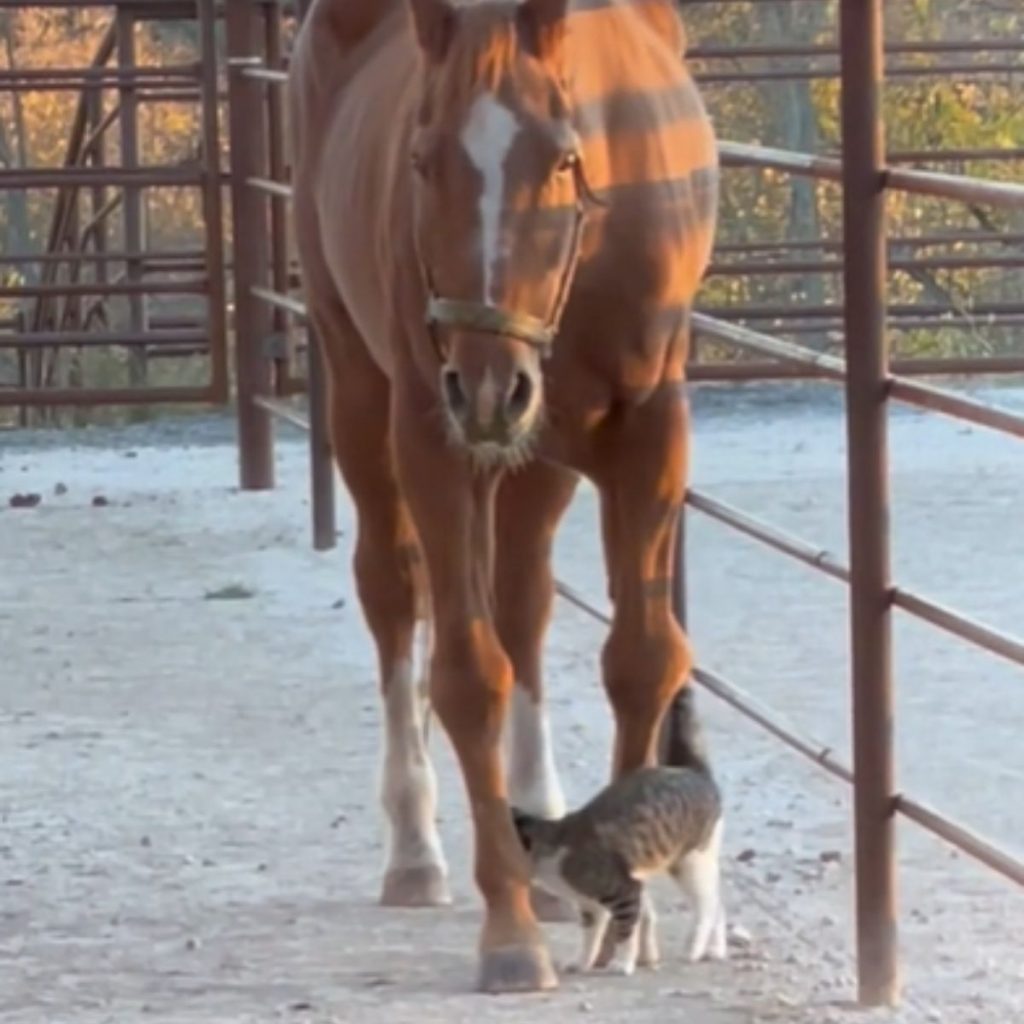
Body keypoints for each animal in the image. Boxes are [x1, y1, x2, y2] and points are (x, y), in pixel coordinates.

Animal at [288, 0, 720, 991]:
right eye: (422, 159)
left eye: (563, 160)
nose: (489, 388)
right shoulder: (433, 438)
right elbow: (466, 674)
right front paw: (511, 936)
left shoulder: (650, 428)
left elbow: (640, 656)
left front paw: (627, 917)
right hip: (364, 391)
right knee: (393, 593)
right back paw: (416, 851)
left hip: (537, 455)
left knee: (523, 603)